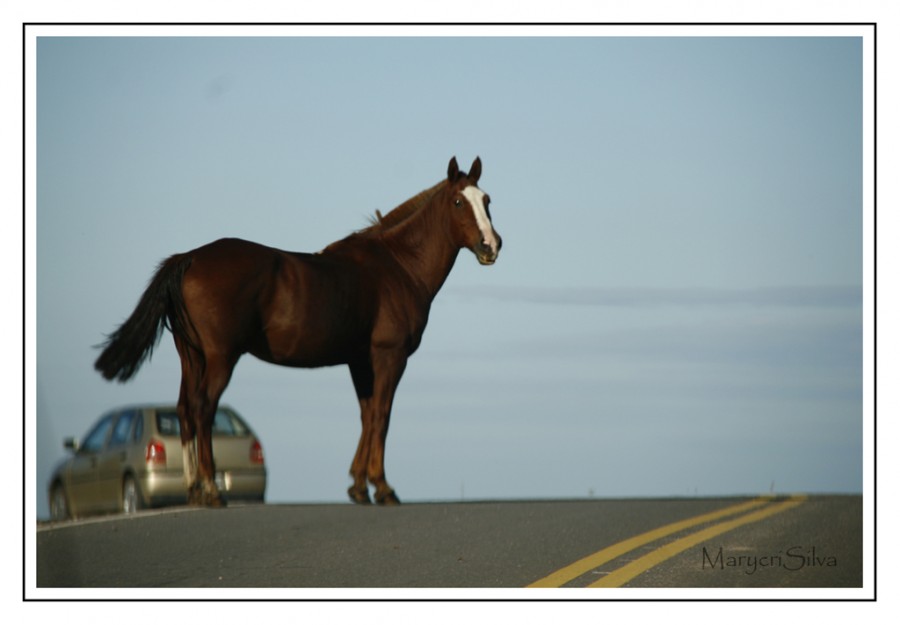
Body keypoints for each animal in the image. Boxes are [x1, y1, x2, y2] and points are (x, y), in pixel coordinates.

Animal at [95, 156, 502, 508]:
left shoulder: (360, 362)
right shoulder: (389, 356)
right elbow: (382, 416)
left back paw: (194, 488)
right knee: (203, 407)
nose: (491, 245)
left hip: (191, 356)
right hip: (220, 357)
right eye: (458, 202)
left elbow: (367, 414)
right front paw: (382, 487)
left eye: (487, 200)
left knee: (184, 408)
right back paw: (210, 489)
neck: (398, 265)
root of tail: (189, 258)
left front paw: (358, 486)